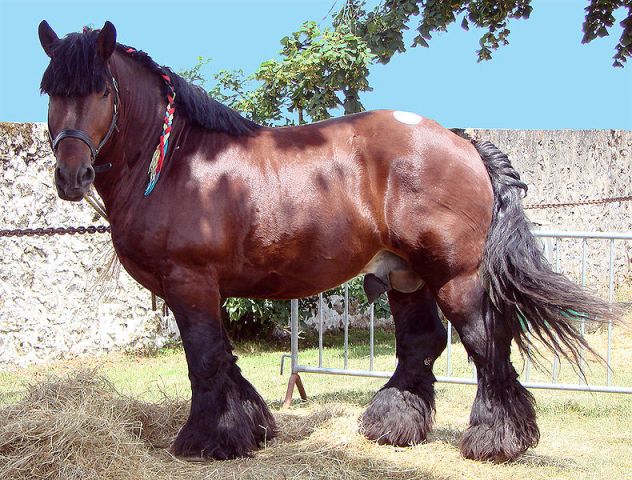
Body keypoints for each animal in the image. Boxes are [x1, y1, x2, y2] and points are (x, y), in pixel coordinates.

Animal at [37, 20, 616, 464]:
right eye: (50, 91)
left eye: (102, 90)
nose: (71, 175)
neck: (179, 160)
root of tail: (462, 141)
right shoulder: (208, 288)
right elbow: (225, 358)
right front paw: (250, 428)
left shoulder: (189, 281)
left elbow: (204, 360)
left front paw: (207, 440)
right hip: (405, 275)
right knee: (422, 343)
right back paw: (392, 424)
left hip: (456, 278)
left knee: (486, 344)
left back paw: (496, 440)